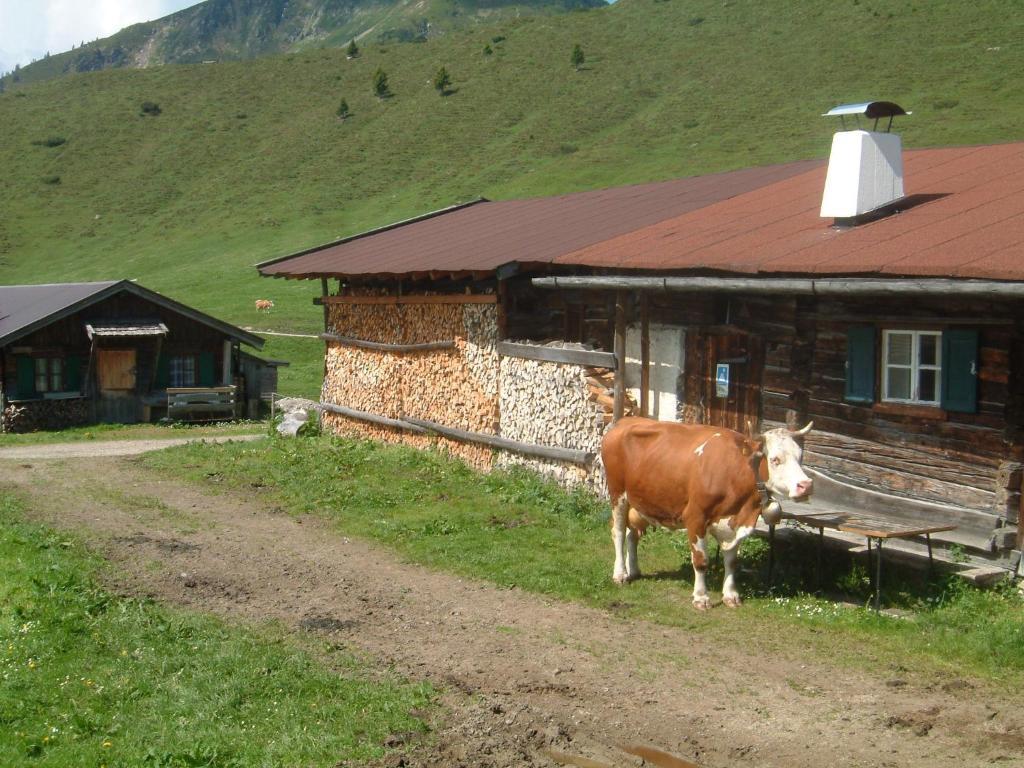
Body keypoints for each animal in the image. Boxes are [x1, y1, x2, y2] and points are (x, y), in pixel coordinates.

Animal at [598, 417, 815, 610]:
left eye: (800, 456)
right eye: (775, 459)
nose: (806, 485)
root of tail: (625, 421)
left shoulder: (734, 524)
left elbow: (732, 562)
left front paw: (730, 595)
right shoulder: (696, 517)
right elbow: (701, 561)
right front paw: (701, 598)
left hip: (641, 501)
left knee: (632, 534)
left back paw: (633, 570)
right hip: (618, 495)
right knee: (618, 532)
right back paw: (620, 574)